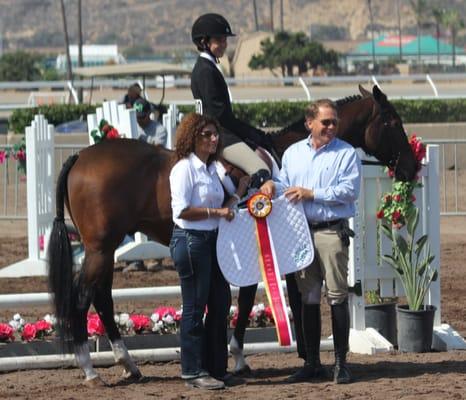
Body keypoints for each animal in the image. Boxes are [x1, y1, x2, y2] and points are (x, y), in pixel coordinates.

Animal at [48, 85, 418, 384]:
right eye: (392, 122)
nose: (411, 168)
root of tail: (80, 155)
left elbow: (261, 299)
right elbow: (249, 302)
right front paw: (241, 356)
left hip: (105, 248)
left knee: (102, 298)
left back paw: (129, 365)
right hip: (100, 248)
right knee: (85, 298)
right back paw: (91, 370)